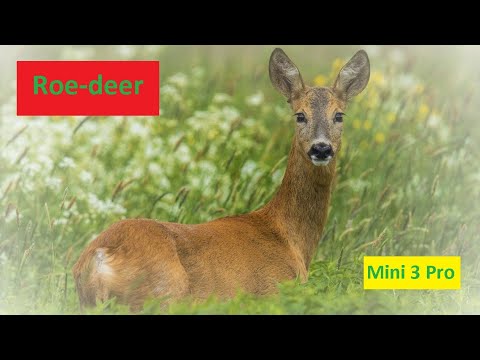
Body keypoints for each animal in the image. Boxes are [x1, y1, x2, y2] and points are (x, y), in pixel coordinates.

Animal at [72, 47, 372, 310]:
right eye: (300, 115)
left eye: (339, 115)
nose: (321, 148)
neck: (291, 238)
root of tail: (99, 257)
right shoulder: (273, 290)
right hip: (162, 294)